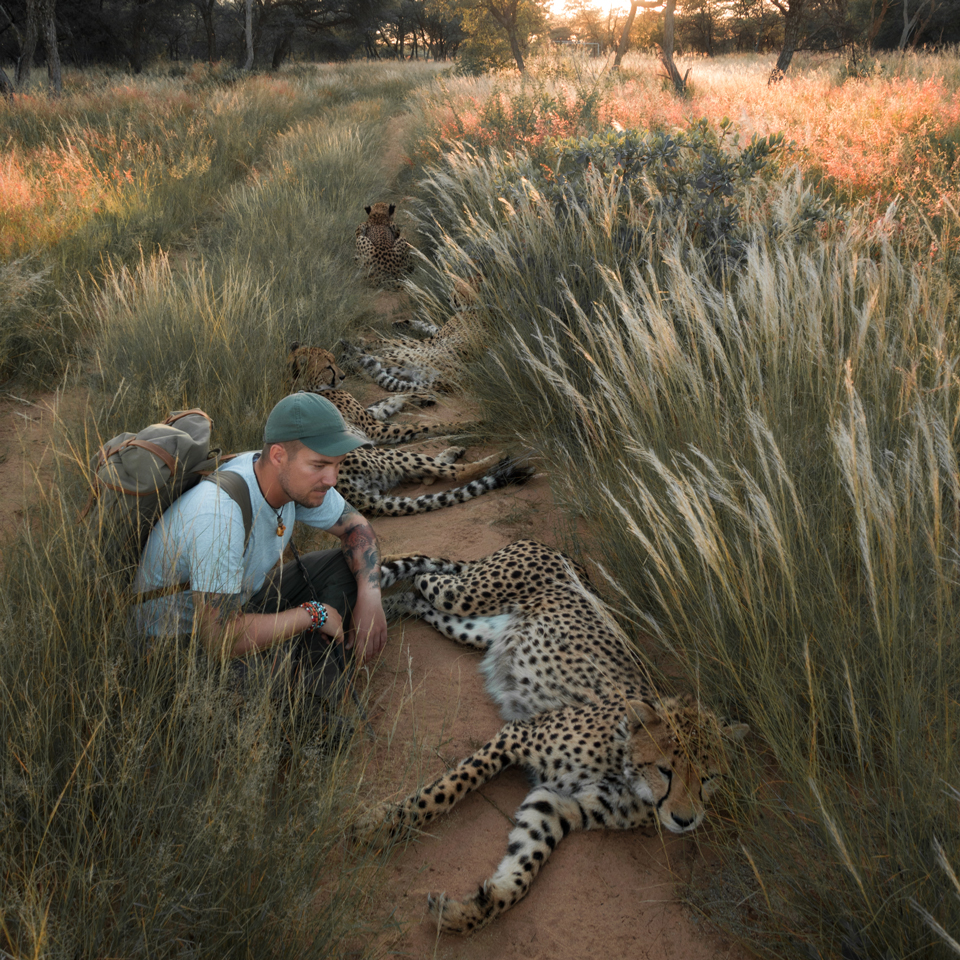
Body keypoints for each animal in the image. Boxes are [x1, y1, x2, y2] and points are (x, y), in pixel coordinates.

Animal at [284, 344, 468, 446]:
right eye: (328, 367)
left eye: (334, 362)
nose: (343, 376)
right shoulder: (371, 427)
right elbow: (421, 426)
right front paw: (462, 425)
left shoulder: (369, 416)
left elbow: (388, 401)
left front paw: (424, 396)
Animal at [356, 544, 748, 932]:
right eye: (666, 770)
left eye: (709, 778)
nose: (685, 820)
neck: (625, 769)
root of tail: (561, 553)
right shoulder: (518, 734)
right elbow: (448, 789)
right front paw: (383, 825)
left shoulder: (556, 804)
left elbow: (523, 870)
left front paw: (468, 910)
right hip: (465, 595)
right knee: (427, 576)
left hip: (477, 628)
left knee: (420, 597)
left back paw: (392, 608)